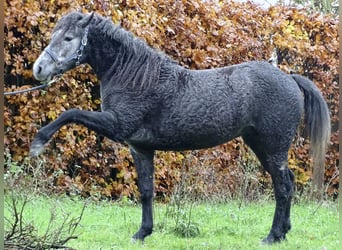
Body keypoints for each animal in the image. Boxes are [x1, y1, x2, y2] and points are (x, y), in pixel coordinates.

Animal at [30, 12, 330, 244]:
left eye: (69, 38)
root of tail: (290, 78)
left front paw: (38, 142)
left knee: (283, 186)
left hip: (272, 147)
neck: (136, 77)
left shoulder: (116, 125)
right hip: (261, 146)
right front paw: (142, 233)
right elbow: (146, 190)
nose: (39, 69)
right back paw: (283, 232)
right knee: (287, 182)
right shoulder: (140, 148)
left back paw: (273, 236)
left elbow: (70, 113)